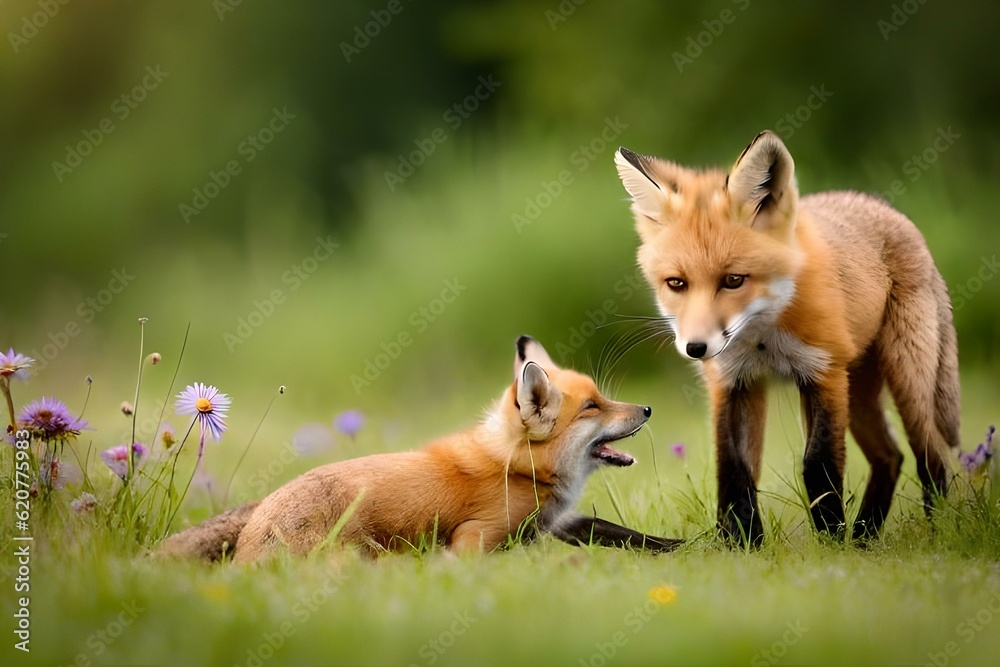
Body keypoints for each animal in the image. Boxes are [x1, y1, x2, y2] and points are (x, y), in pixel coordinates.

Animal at [160, 336, 681, 562]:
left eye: (602, 397)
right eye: (593, 407)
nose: (649, 409)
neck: (518, 466)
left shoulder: (561, 520)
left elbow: (618, 531)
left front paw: (683, 547)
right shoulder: (475, 538)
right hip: (359, 553)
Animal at [613, 131, 960, 545]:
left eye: (734, 280)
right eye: (676, 283)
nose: (696, 348)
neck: (762, 336)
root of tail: (887, 209)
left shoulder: (824, 372)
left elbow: (818, 462)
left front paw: (830, 539)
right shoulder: (733, 382)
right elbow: (733, 467)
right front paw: (742, 542)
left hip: (905, 383)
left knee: (931, 455)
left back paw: (932, 530)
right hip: (860, 393)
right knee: (890, 456)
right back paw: (865, 535)